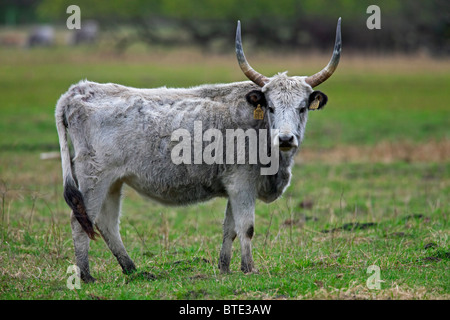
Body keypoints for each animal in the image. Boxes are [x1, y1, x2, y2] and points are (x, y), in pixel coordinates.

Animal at [55, 19, 342, 282]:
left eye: (302, 107)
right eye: (270, 107)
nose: (285, 138)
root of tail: (77, 92)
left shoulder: (233, 187)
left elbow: (229, 229)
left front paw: (224, 268)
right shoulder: (242, 184)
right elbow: (246, 227)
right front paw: (249, 269)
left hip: (114, 182)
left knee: (107, 224)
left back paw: (133, 270)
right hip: (94, 179)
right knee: (80, 221)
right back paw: (86, 276)